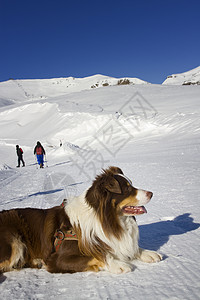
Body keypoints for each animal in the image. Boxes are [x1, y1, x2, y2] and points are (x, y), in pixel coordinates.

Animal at [0, 166, 162, 274]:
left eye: (132, 184)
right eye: (127, 189)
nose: (152, 193)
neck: (108, 220)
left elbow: (128, 248)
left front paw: (148, 253)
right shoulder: (58, 258)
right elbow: (97, 255)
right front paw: (117, 264)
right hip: (14, 242)